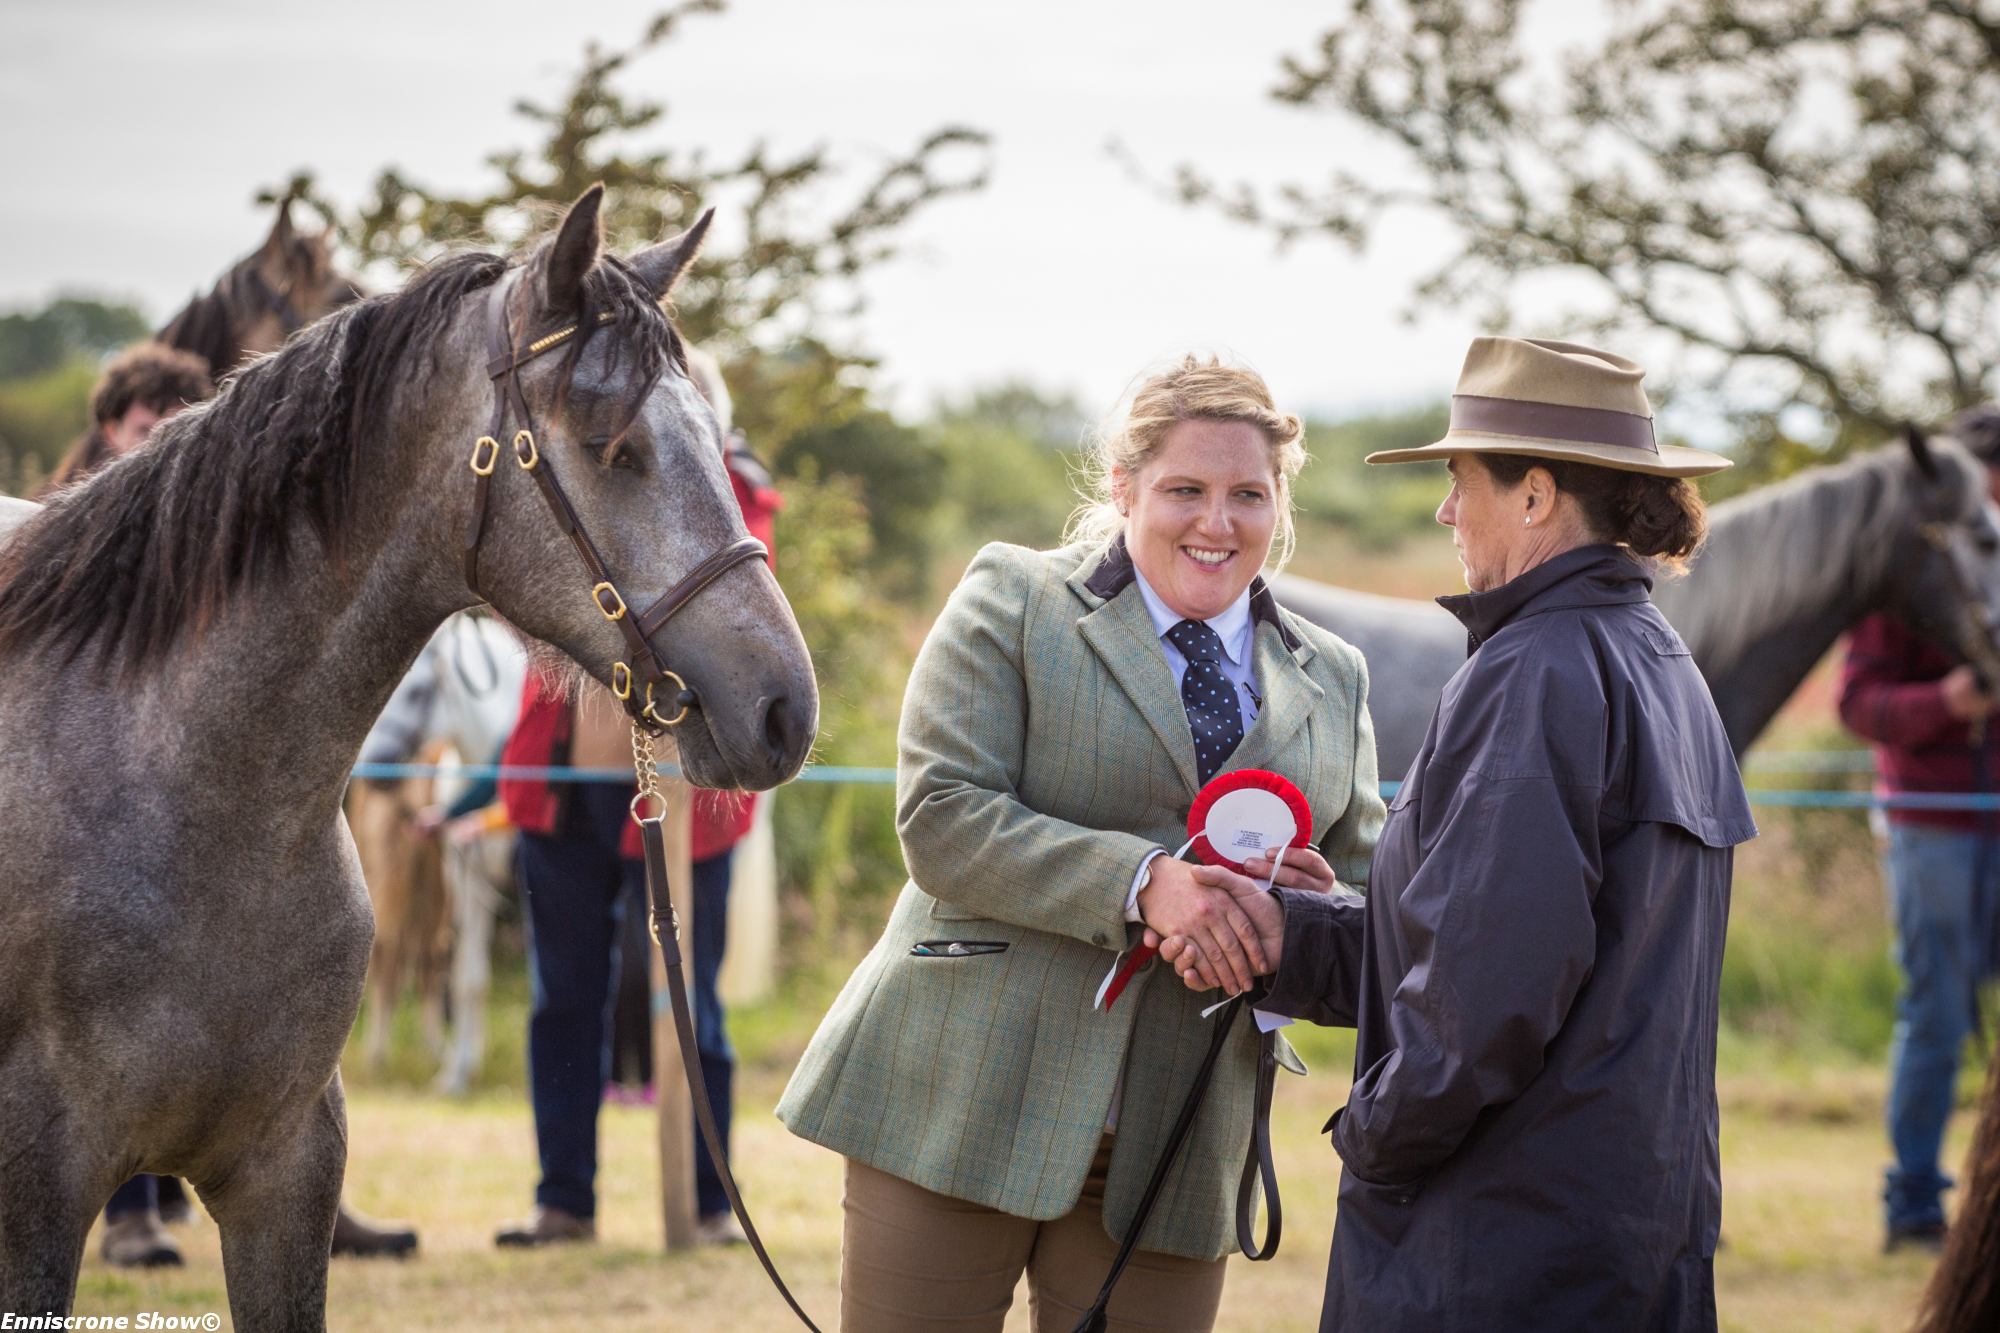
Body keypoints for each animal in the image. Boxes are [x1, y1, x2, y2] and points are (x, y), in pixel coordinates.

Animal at [0, 186, 817, 1329]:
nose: (785, 708)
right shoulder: (40, 1187)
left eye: (718, 437)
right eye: (612, 446)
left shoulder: (285, 1173)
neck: (182, 782)